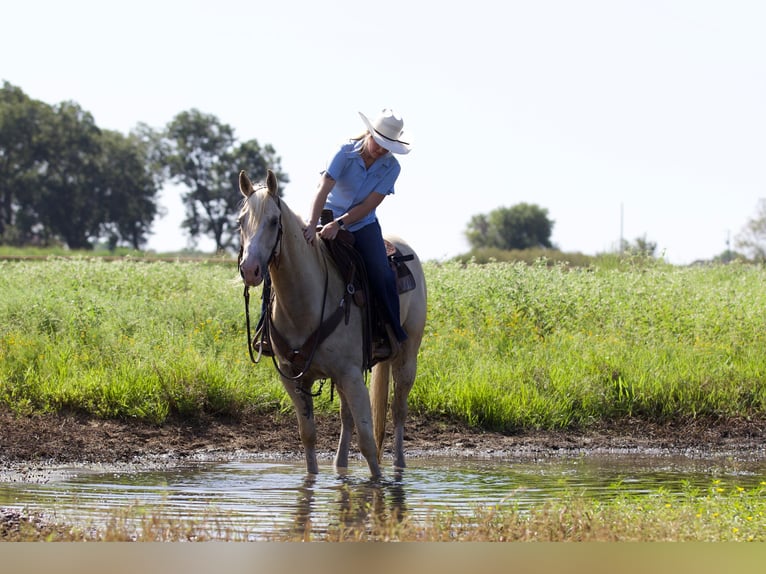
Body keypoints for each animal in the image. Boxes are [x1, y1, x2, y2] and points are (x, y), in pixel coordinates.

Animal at [237, 169, 428, 480]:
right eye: (240, 221)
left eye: (274, 221)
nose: (250, 269)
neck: (305, 304)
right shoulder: (294, 377)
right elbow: (309, 435)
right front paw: (313, 478)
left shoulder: (350, 374)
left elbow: (367, 441)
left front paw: (378, 481)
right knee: (347, 417)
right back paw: (340, 466)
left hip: (406, 355)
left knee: (398, 410)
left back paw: (399, 466)